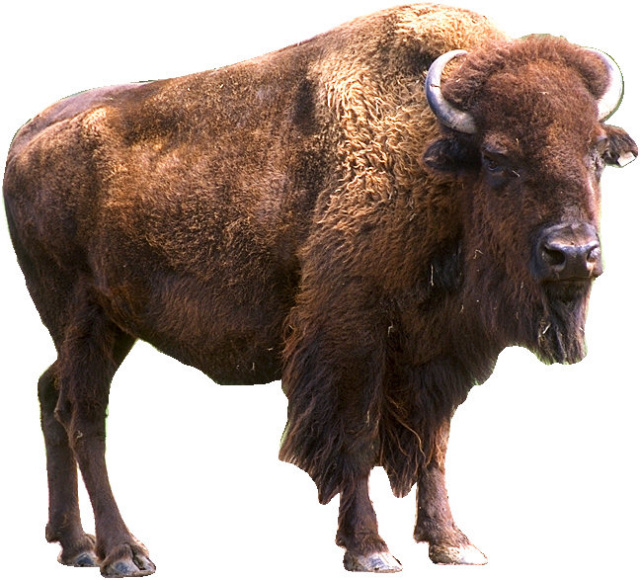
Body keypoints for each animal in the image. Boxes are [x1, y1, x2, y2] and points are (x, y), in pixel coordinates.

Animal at [3, 3, 637, 577]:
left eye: (596, 154)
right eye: (497, 157)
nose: (573, 253)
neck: (432, 161)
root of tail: (25, 139)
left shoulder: (439, 351)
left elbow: (434, 445)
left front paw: (453, 544)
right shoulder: (349, 333)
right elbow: (355, 437)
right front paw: (371, 549)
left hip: (112, 326)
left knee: (49, 393)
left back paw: (73, 543)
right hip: (83, 318)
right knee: (83, 415)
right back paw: (122, 553)